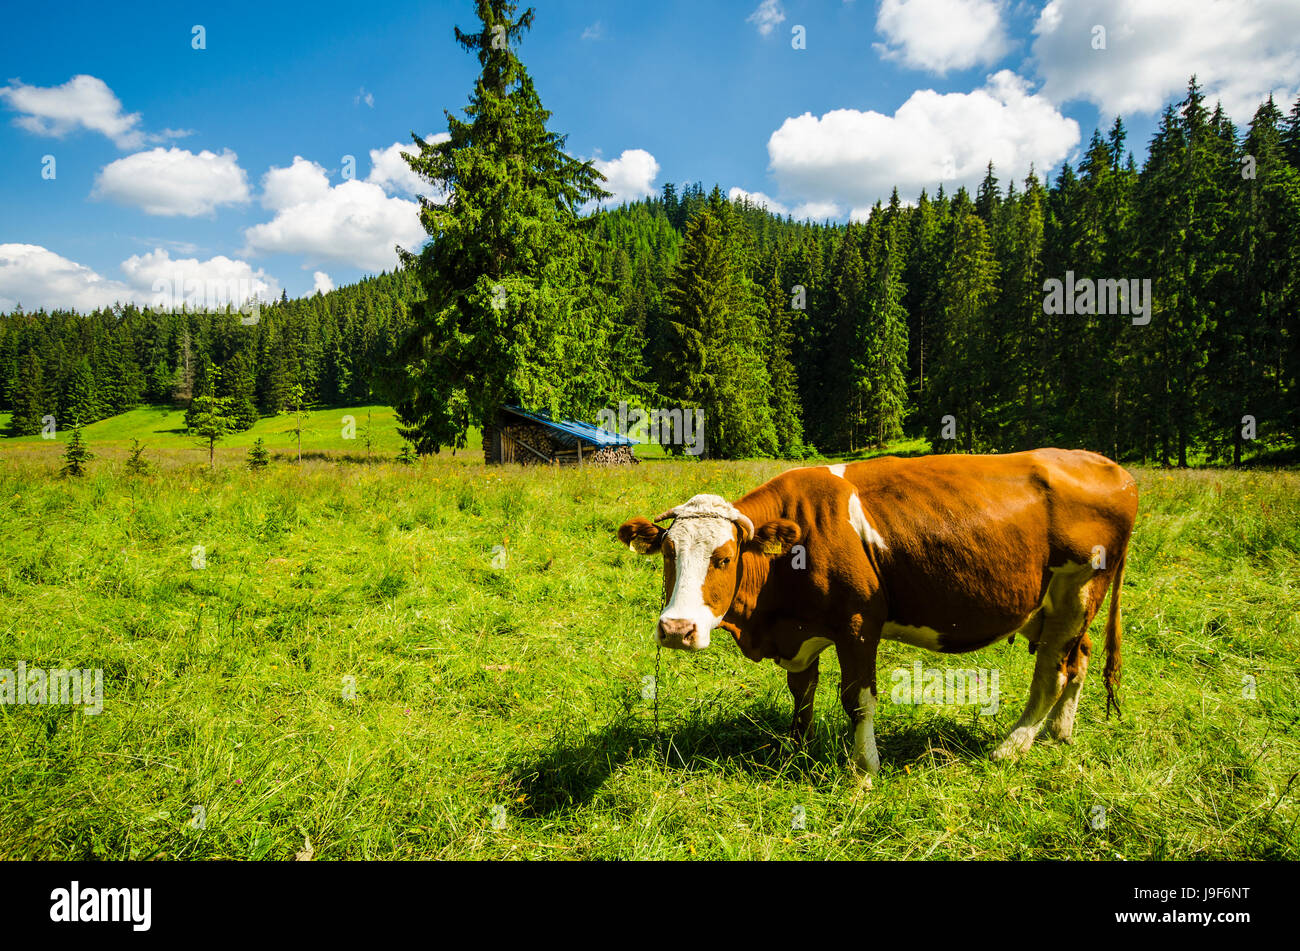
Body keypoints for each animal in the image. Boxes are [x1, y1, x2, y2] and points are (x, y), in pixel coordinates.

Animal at [617, 448, 1138, 776]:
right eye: (668, 553)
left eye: (724, 558)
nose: (677, 629)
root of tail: (1112, 467)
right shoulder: (801, 634)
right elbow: (802, 694)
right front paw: (795, 750)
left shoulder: (858, 622)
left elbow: (858, 700)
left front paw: (865, 768)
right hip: (1051, 607)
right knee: (1078, 659)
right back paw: (1059, 735)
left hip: (1077, 591)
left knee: (1052, 671)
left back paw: (1011, 747)